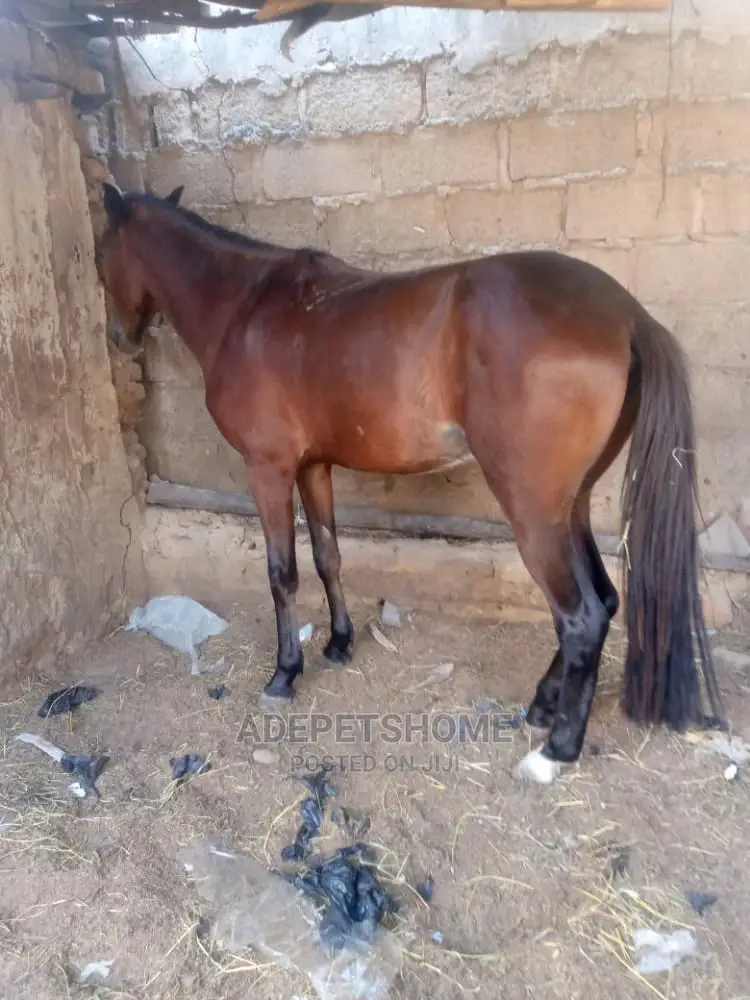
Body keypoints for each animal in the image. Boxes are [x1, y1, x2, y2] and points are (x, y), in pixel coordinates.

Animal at [95, 181, 723, 785]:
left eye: (100, 255)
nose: (119, 337)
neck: (247, 306)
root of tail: (627, 316)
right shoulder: (313, 466)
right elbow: (327, 555)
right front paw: (339, 643)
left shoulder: (267, 468)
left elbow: (282, 573)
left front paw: (284, 674)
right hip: (571, 504)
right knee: (605, 599)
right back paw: (543, 707)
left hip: (533, 513)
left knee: (580, 617)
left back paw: (555, 750)